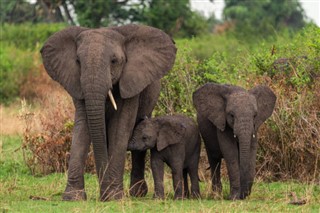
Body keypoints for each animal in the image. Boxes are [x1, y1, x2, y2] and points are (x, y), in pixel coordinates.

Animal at [40, 24, 178, 201]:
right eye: (78, 61)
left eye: (114, 61)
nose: (103, 196)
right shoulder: (77, 84)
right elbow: (82, 128)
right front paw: (73, 197)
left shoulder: (130, 83)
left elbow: (120, 128)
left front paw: (113, 197)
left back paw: (136, 193)